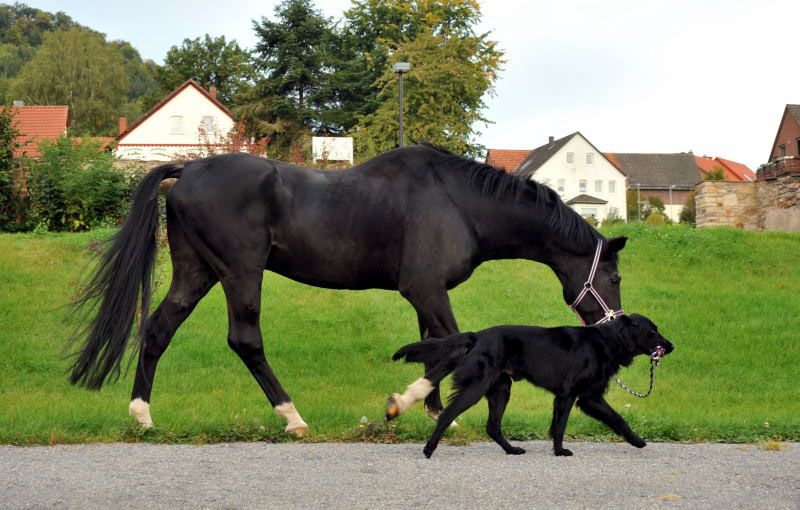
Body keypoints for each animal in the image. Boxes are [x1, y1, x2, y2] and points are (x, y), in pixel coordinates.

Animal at [69, 142, 628, 434]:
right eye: (616, 277)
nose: (615, 330)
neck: (459, 202)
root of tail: (188, 169)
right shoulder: (427, 290)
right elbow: (453, 346)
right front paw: (408, 404)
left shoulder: (425, 294)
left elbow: (436, 345)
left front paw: (432, 410)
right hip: (240, 273)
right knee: (245, 340)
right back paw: (291, 416)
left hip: (196, 272)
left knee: (158, 330)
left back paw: (142, 414)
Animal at [384, 312, 672, 460]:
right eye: (652, 331)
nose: (670, 346)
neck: (607, 340)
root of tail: (477, 336)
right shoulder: (569, 394)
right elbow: (561, 426)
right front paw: (560, 451)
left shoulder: (590, 397)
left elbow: (617, 419)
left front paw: (637, 441)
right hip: (477, 387)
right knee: (447, 415)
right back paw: (429, 449)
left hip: (501, 389)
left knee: (492, 426)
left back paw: (511, 450)